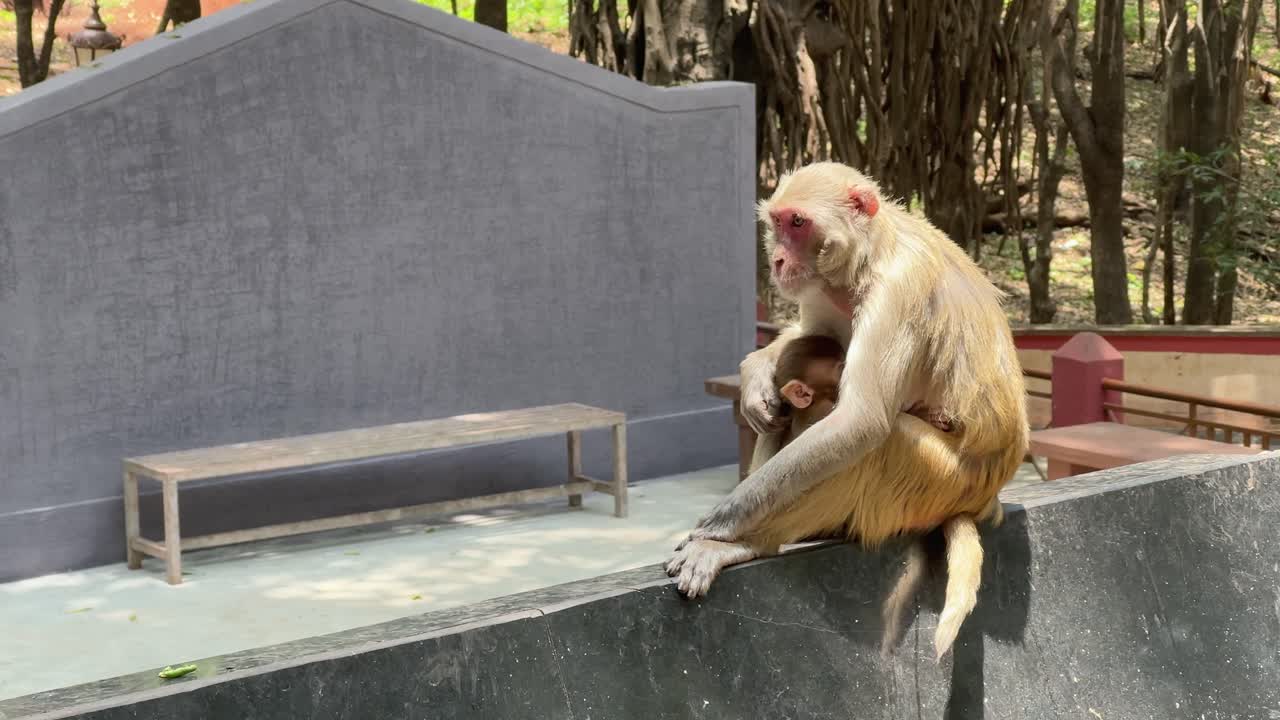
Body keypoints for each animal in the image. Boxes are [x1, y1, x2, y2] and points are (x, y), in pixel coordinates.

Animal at [666, 161, 1028, 660]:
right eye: (778, 222)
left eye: (799, 223)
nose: (778, 261)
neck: (866, 257)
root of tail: (983, 500)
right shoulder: (819, 287)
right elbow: (802, 345)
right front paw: (757, 372)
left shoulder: (897, 290)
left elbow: (860, 421)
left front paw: (718, 526)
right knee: (791, 419)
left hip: (943, 483)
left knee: (879, 445)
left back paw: (748, 544)